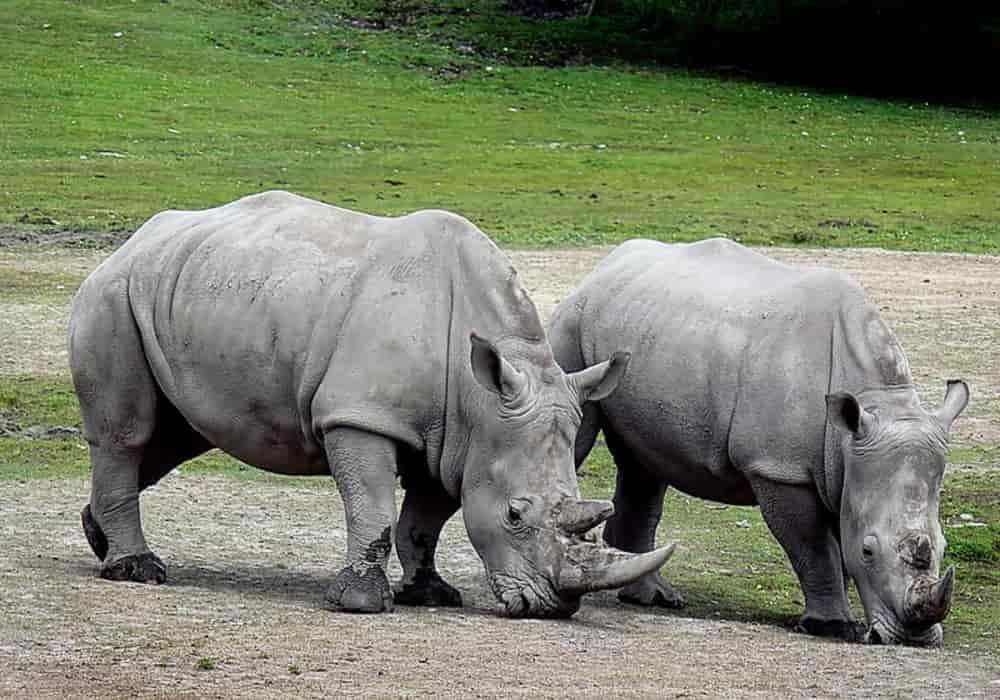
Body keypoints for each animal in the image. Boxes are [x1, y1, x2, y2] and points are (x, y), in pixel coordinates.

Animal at [69, 191, 675, 618]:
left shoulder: (457, 438)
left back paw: (99, 538)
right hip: (114, 294)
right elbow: (375, 505)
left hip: (185, 292)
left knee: (175, 435)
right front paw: (361, 602)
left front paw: (430, 593)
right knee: (128, 432)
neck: (479, 396)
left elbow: (428, 515)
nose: (553, 608)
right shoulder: (360, 416)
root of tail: (133, 241)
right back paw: (138, 570)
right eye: (514, 515)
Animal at [548, 238, 968, 644]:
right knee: (583, 436)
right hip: (575, 325)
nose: (915, 638)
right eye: (868, 549)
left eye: (945, 547)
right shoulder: (779, 469)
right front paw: (833, 627)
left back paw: (654, 599)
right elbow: (815, 548)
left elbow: (835, 543)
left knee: (644, 466)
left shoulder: (846, 469)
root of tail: (603, 267)